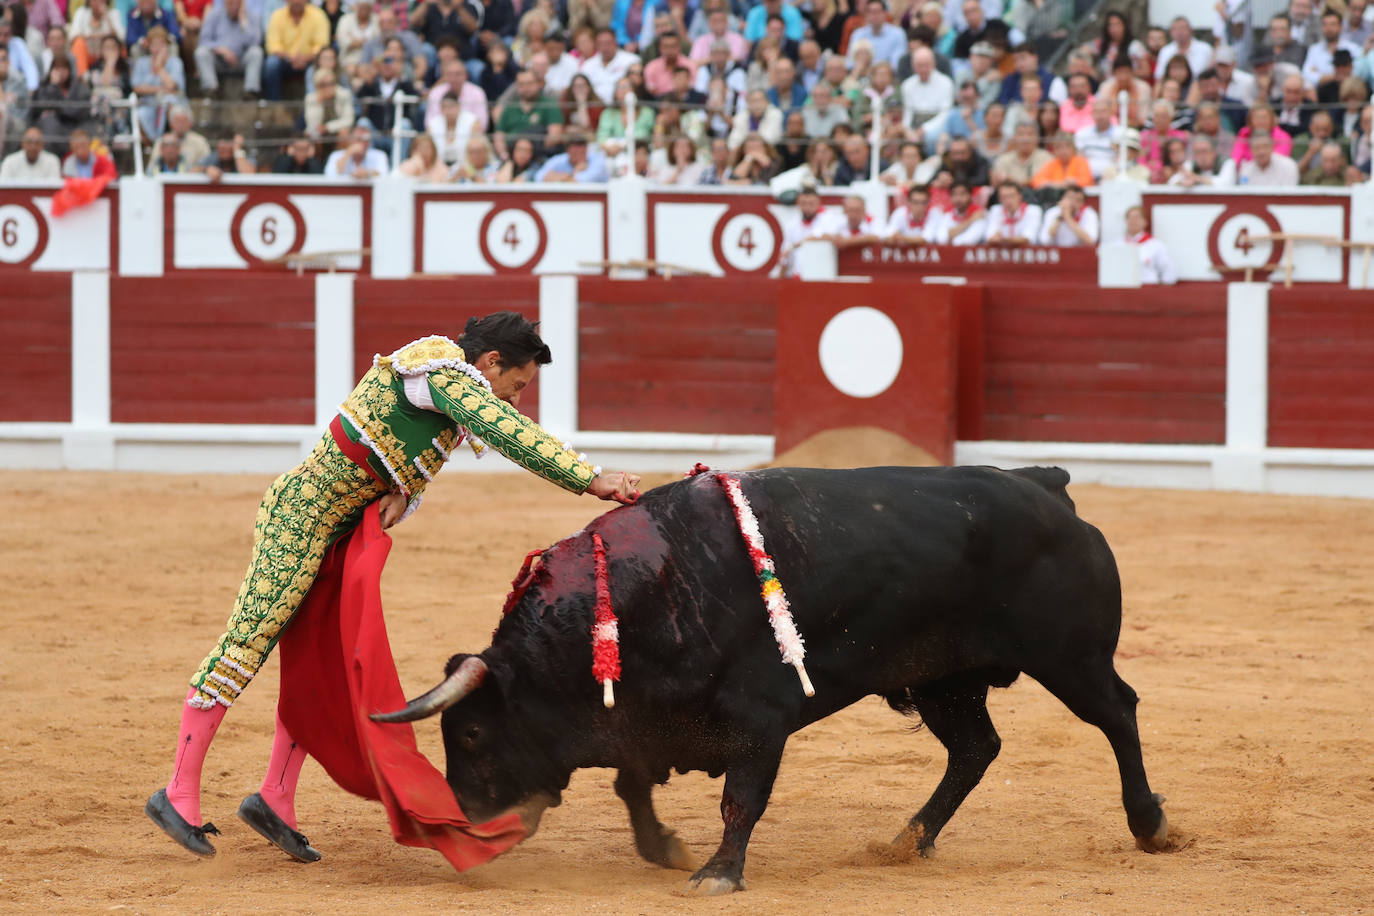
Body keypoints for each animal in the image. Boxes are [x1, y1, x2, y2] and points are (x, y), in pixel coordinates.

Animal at [376, 466, 1170, 895]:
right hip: (945, 679)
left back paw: (1151, 824)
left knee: (1119, 715)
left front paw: (718, 872)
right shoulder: (650, 719)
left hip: (1069, 657)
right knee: (975, 749)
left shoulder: (759, 718)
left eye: (472, 734)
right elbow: (633, 783)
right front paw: (667, 849)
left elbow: (741, 798)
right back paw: (908, 839)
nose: (468, 822)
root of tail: (1048, 488)